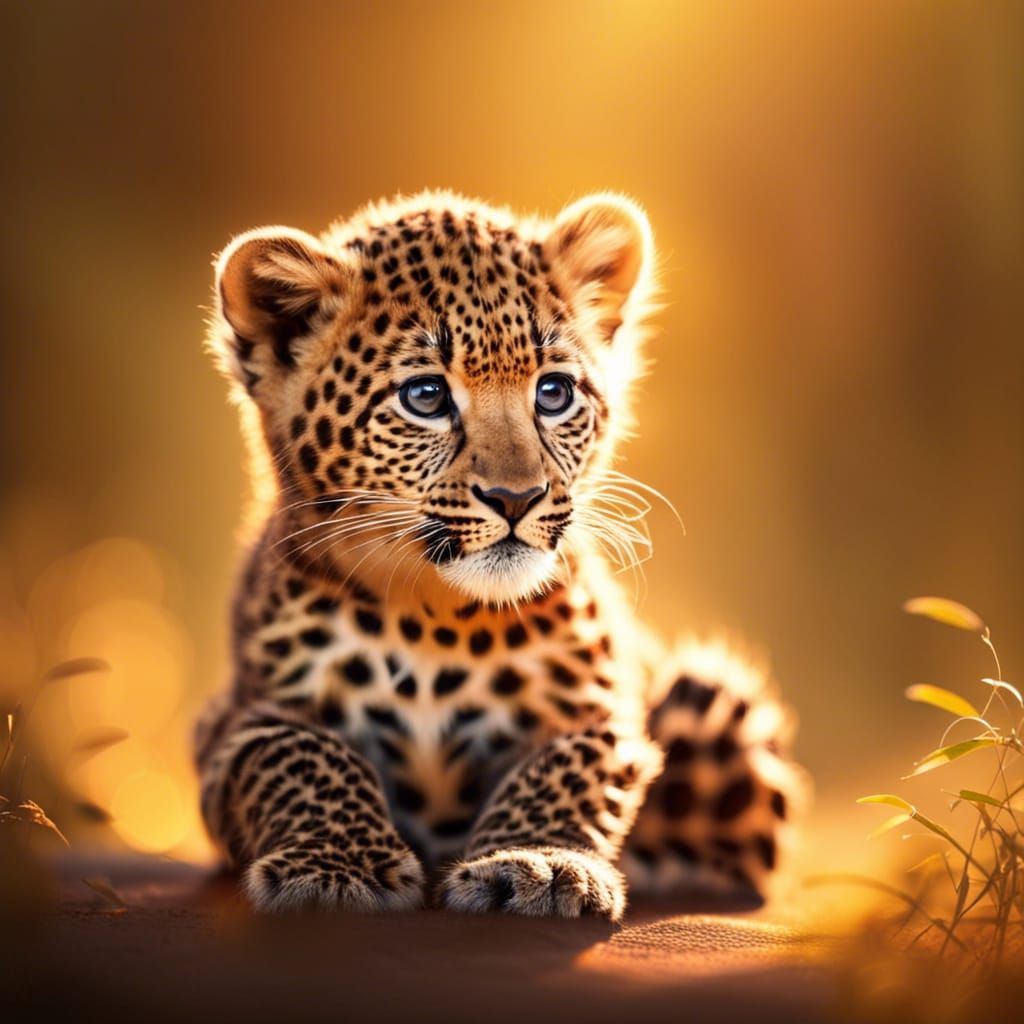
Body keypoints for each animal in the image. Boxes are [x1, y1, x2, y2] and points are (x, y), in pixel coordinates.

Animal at [195, 190, 805, 920]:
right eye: (425, 396)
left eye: (554, 392)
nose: (517, 497)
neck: (435, 619)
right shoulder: (235, 721)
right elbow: (300, 751)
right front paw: (336, 868)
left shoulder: (602, 712)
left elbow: (570, 761)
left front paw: (535, 861)